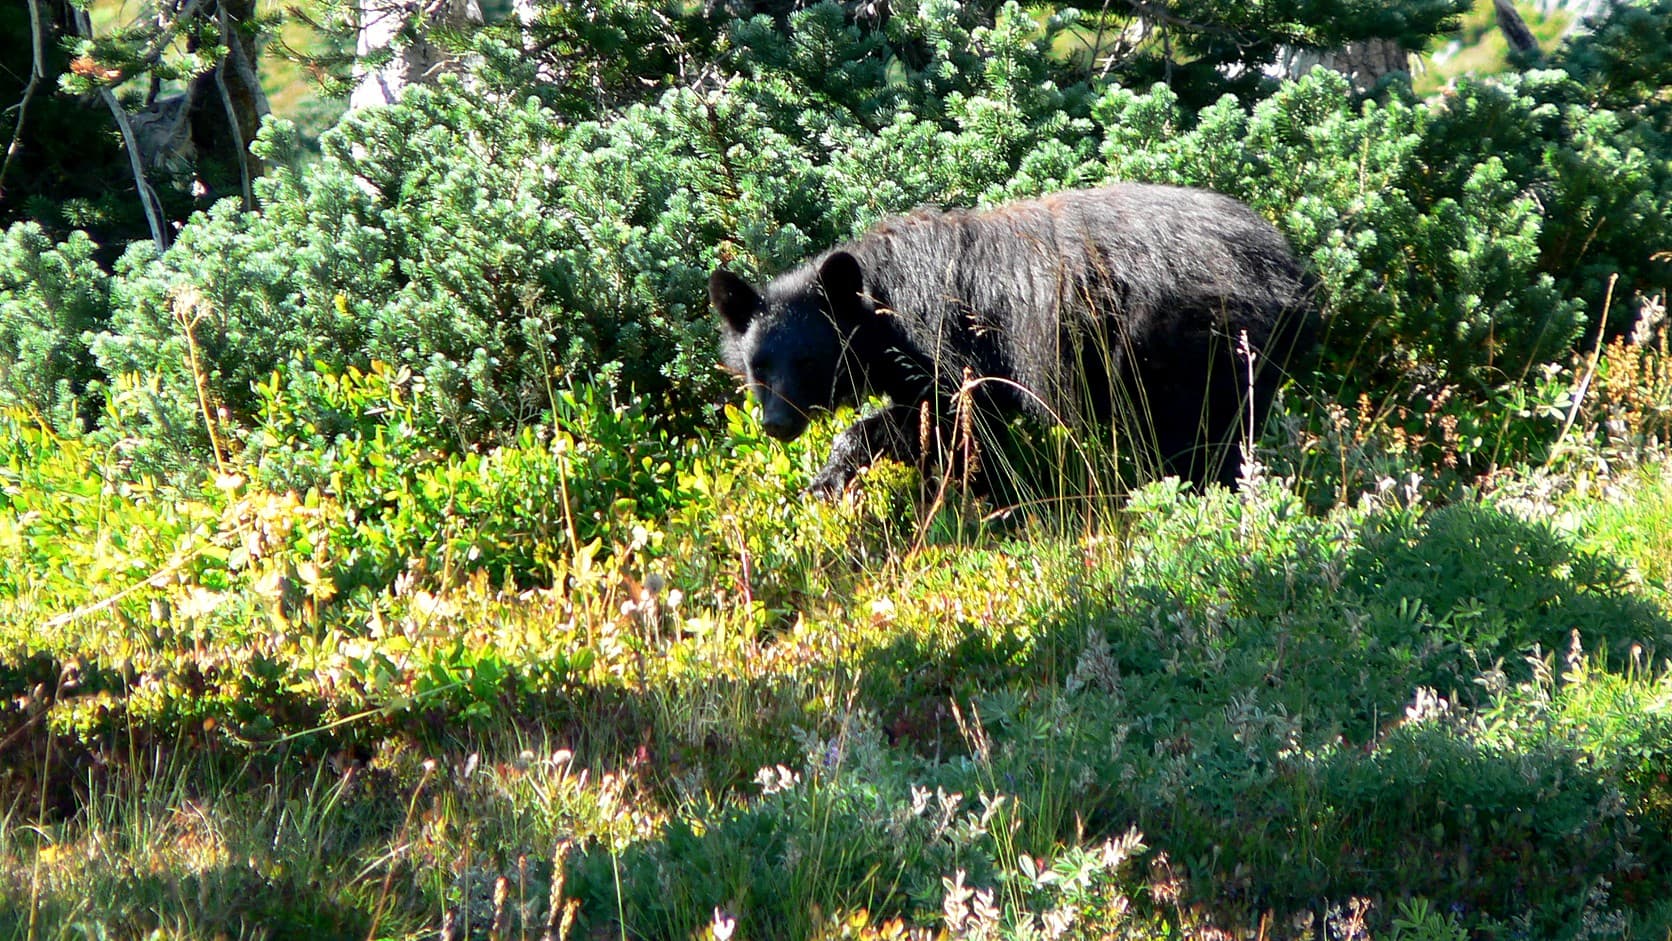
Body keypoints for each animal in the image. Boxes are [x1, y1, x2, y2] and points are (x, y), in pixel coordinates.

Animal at [709, 183, 1315, 501]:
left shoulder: (950, 343)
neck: (885, 308)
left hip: (1194, 350)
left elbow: (958, 418)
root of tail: (1290, 270)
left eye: (809, 360)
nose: (776, 424)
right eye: (758, 365)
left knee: (1204, 440)